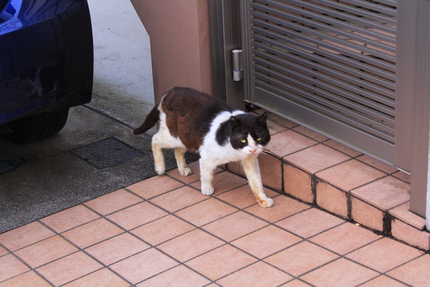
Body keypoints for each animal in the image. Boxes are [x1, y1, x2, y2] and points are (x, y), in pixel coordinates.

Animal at [134, 86, 274, 208]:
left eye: (259, 139)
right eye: (243, 140)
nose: (253, 149)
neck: (234, 149)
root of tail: (170, 91)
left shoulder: (250, 161)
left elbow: (256, 181)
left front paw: (262, 199)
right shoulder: (206, 158)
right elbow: (207, 175)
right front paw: (207, 189)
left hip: (186, 138)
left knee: (178, 150)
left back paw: (182, 169)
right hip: (173, 136)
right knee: (155, 139)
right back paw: (160, 168)